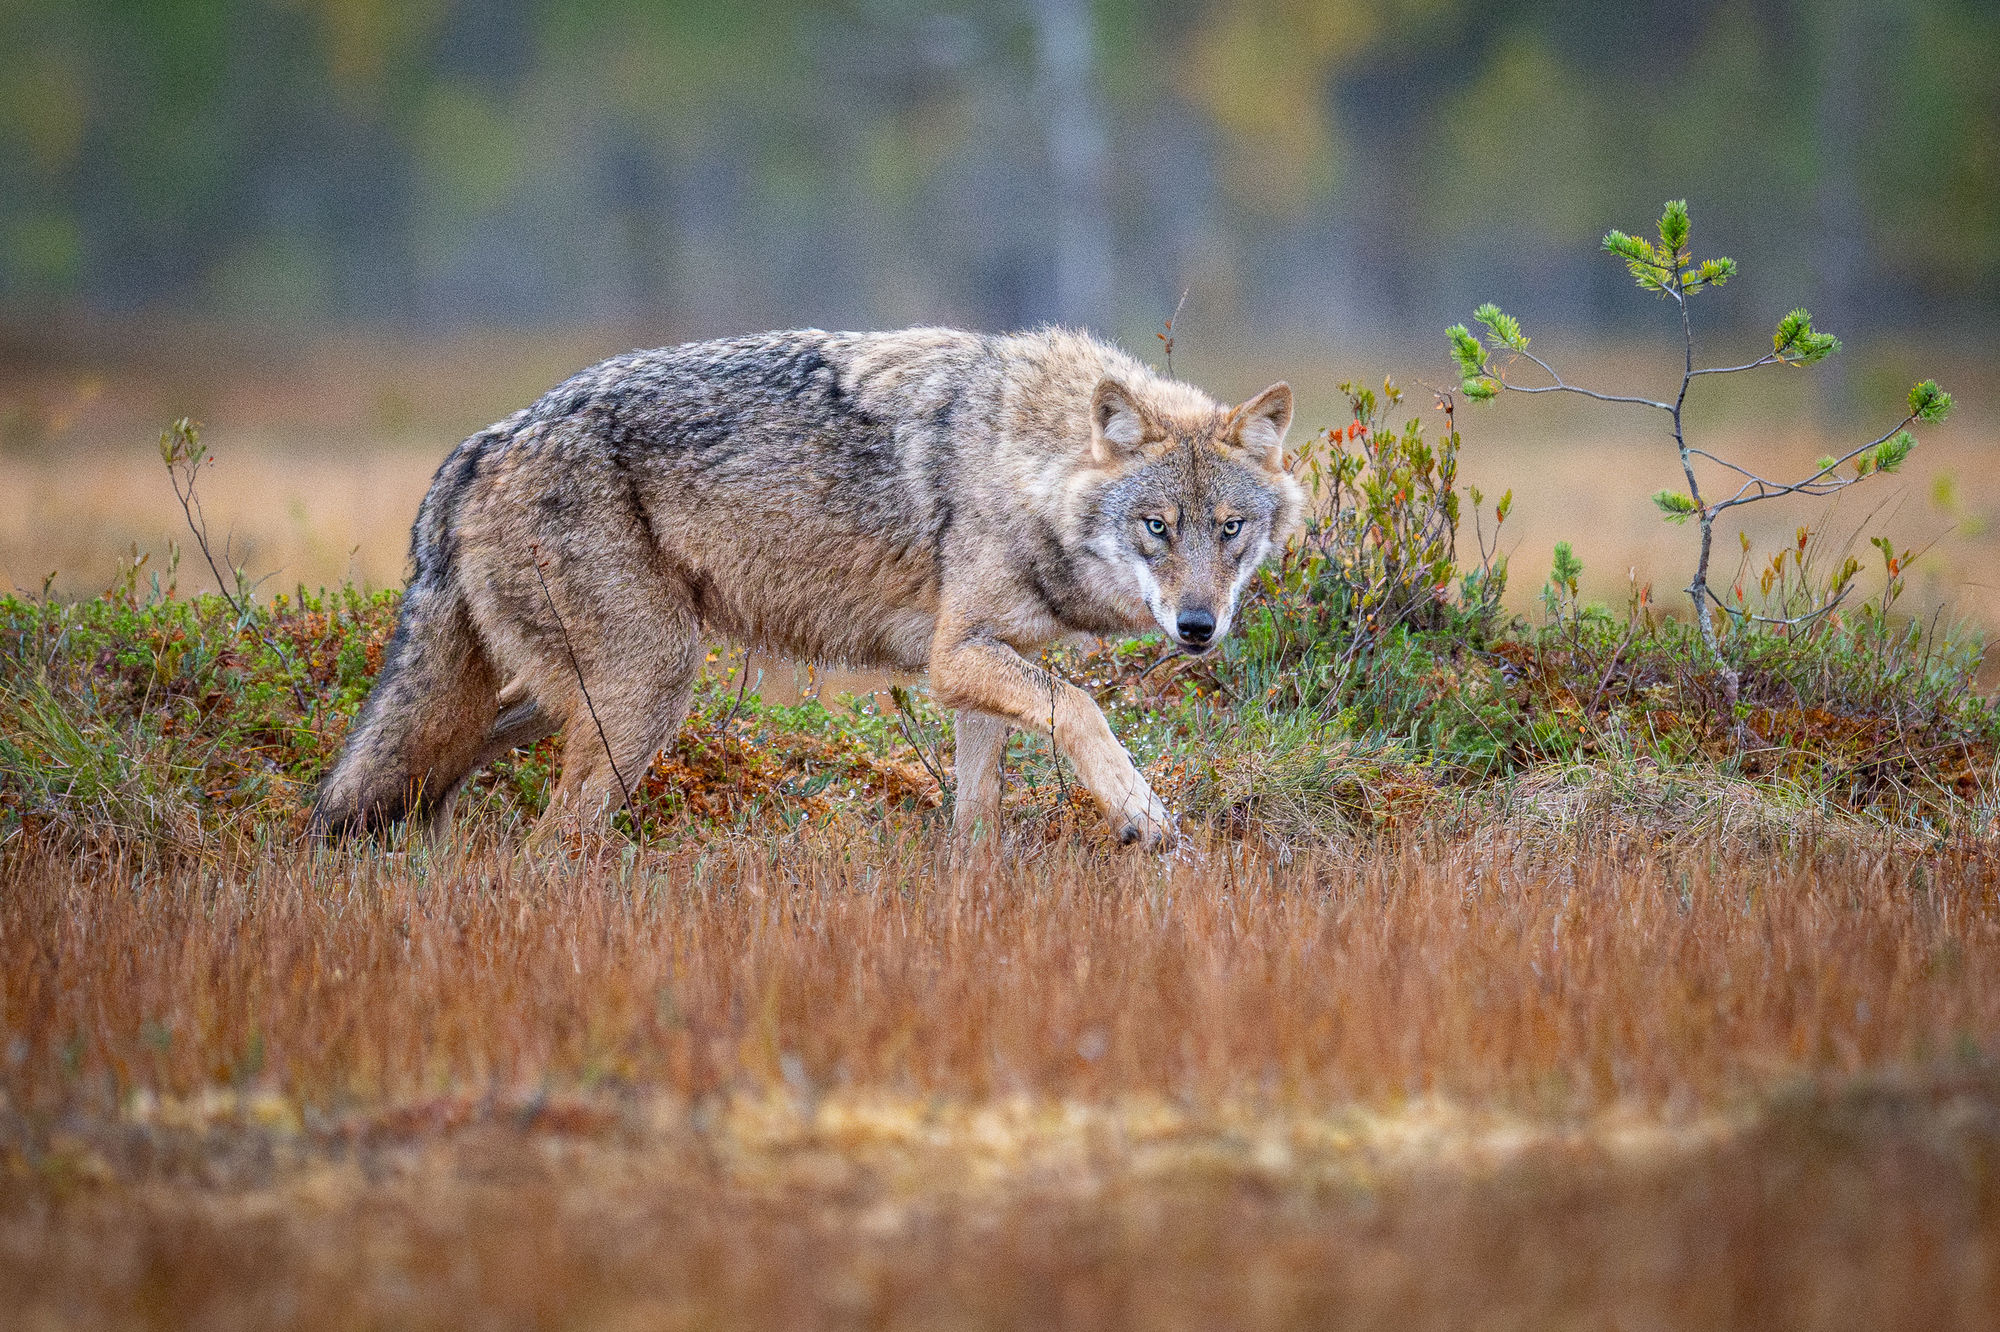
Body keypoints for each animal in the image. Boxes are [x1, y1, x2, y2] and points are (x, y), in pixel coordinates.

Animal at [310, 326, 1302, 847]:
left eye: (1230, 529)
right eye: (1156, 527)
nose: (1198, 627)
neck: (1023, 460)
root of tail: (482, 441)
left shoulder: (980, 672)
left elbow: (980, 813)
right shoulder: (955, 662)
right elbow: (1088, 712)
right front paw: (1147, 821)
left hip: (589, 698)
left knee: (441, 766)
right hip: (648, 692)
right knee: (548, 842)